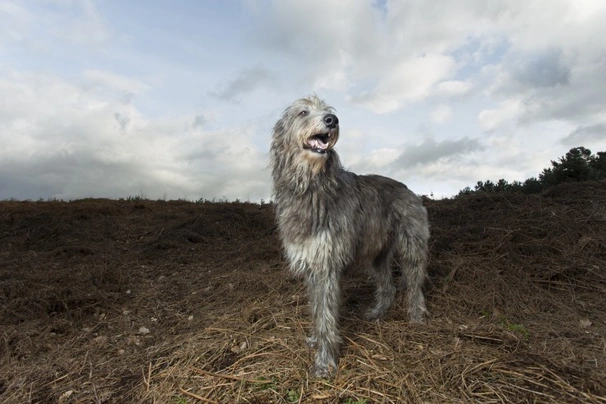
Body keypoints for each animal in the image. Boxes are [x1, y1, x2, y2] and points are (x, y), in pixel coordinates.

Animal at [270, 95, 432, 378]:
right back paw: (377, 312)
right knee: (388, 286)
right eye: (303, 112)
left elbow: (326, 315)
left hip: (412, 246)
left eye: (327, 110)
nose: (332, 120)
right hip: (378, 253)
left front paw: (324, 363)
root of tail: (408, 189)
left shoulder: (327, 266)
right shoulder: (312, 266)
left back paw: (416, 317)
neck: (312, 186)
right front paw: (315, 339)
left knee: (414, 284)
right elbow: (317, 309)